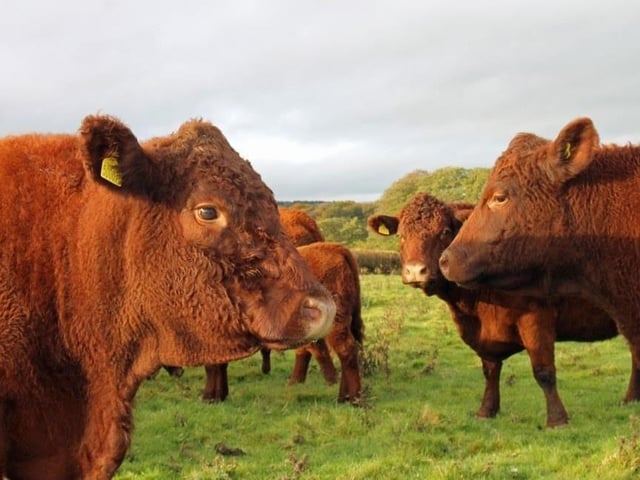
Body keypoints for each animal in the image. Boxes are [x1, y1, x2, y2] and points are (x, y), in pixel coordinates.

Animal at [203, 241, 364, 405]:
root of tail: (337, 249)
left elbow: (213, 366)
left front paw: (210, 396)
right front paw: (220, 394)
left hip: (334, 324)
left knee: (345, 349)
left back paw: (353, 399)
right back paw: (343, 396)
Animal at [369, 192, 620, 426]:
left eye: (444, 232)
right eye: (401, 235)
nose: (415, 271)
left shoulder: (537, 319)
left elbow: (544, 371)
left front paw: (557, 420)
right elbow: (490, 370)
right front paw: (486, 411)